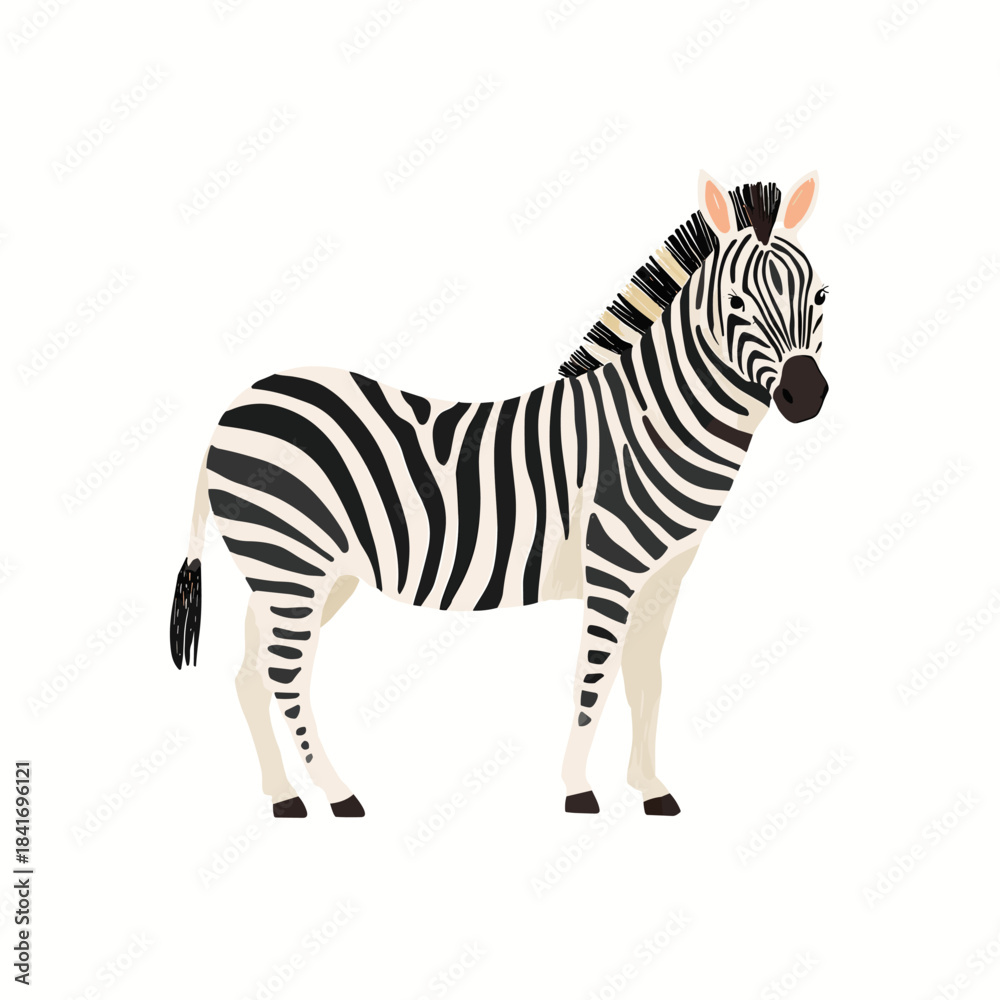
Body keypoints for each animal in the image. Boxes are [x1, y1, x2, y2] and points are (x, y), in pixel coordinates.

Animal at [169, 171, 828, 819]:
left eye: (820, 296)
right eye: (737, 303)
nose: (807, 395)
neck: (651, 421)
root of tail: (233, 406)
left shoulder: (665, 581)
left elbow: (648, 682)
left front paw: (652, 790)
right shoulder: (613, 571)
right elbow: (595, 679)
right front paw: (578, 790)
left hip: (298, 573)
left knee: (253, 673)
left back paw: (284, 796)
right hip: (291, 565)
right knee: (286, 676)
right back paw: (338, 794)